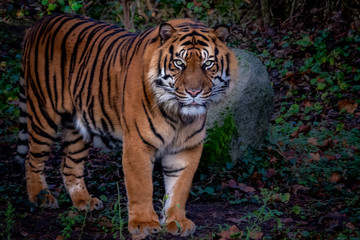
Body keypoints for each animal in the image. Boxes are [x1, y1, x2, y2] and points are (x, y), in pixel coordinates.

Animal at [14, 14, 239, 239]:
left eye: (208, 64)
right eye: (179, 63)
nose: (194, 92)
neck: (179, 116)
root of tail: (41, 21)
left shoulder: (186, 148)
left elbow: (179, 188)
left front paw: (177, 222)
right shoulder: (138, 144)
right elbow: (141, 186)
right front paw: (144, 224)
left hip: (77, 125)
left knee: (69, 165)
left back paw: (84, 202)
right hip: (43, 113)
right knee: (32, 159)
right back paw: (40, 198)